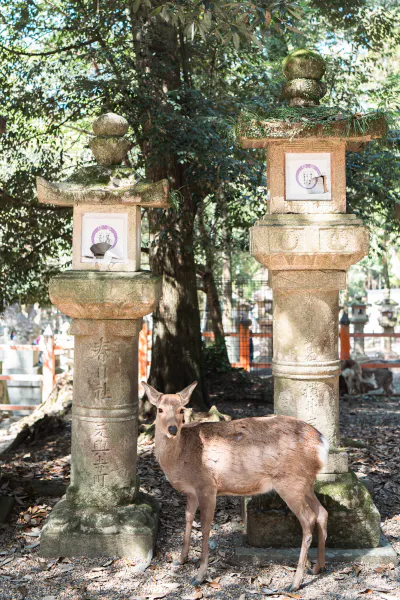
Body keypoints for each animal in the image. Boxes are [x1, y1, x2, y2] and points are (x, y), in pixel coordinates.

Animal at [143, 380, 328, 592]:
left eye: (181, 409)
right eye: (160, 409)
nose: (173, 429)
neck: (180, 460)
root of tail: (322, 444)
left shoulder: (207, 486)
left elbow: (205, 526)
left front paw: (199, 576)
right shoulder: (191, 492)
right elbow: (188, 519)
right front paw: (181, 559)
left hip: (290, 482)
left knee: (308, 519)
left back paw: (294, 583)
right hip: (306, 483)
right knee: (322, 513)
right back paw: (318, 567)